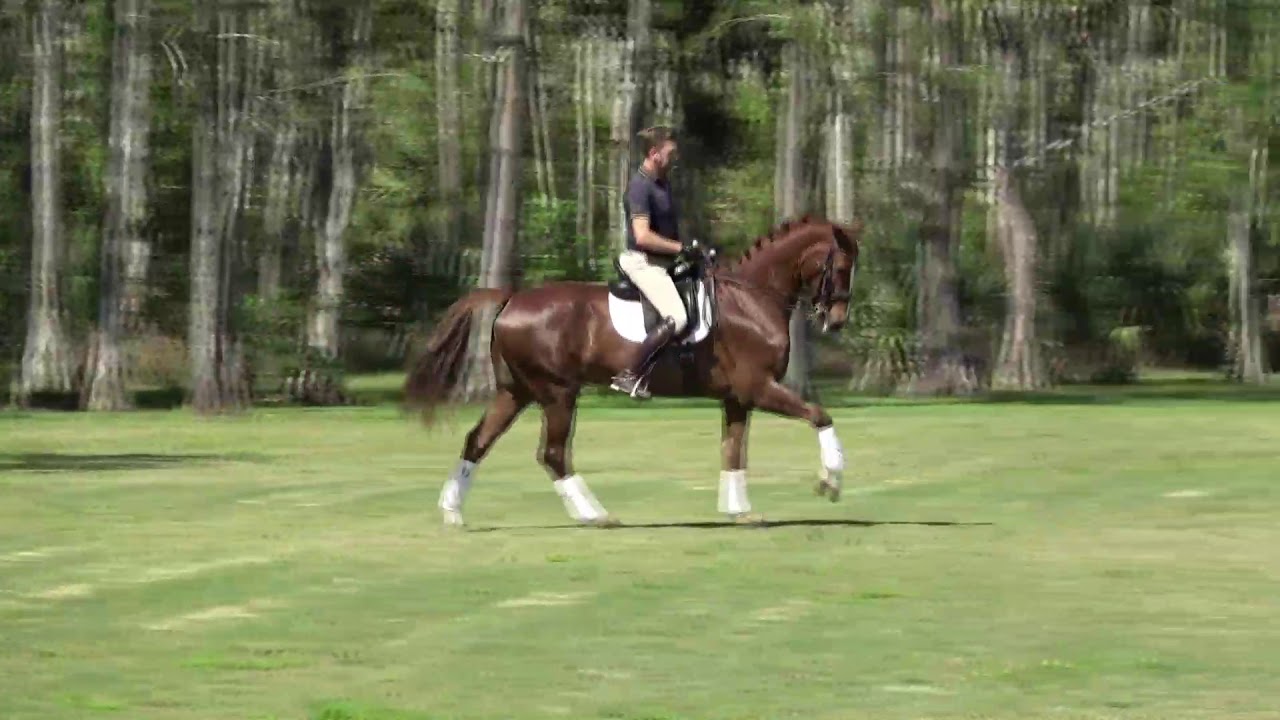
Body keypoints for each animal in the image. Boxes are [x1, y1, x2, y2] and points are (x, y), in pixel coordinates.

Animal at [404, 215, 861, 527]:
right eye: (840, 268)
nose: (836, 320)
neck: (752, 299)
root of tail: (512, 299)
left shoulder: (736, 398)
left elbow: (733, 451)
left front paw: (739, 510)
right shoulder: (759, 388)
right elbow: (819, 416)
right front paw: (831, 481)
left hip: (516, 392)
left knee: (477, 441)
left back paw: (452, 511)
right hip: (557, 392)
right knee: (553, 453)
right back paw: (594, 514)